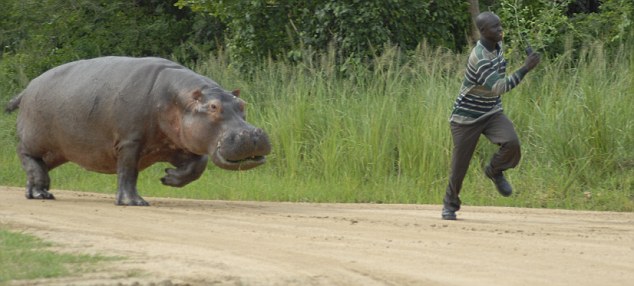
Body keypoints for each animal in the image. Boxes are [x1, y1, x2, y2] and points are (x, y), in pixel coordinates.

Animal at [5, 56, 272, 206]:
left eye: (242, 104)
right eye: (214, 107)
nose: (252, 135)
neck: (178, 100)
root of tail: (27, 88)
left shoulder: (175, 144)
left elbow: (198, 165)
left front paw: (169, 178)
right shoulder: (129, 142)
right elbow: (128, 172)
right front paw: (134, 202)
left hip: (60, 151)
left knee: (38, 166)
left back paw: (36, 193)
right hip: (37, 139)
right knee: (24, 153)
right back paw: (42, 194)